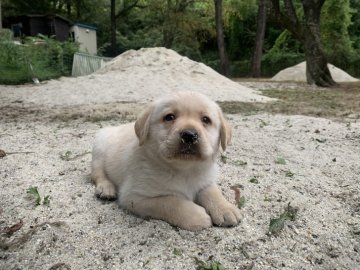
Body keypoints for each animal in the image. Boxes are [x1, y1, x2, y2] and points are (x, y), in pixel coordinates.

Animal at [91, 92, 240, 231]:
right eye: (169, 117)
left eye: (206, 119)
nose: (189, 135)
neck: (185, 170)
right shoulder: (134, 196)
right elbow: (170, 202)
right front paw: (197, 216)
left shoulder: (206, 179)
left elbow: (212, 191)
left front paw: (225, 208)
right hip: (99, 147)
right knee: (98, 173)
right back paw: (106, 188)